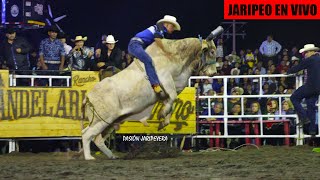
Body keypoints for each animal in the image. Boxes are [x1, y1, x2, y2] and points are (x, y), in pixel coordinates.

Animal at [81, 26, 224, 160]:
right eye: (212, 51)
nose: (213, 73)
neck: (172, 56)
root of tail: (88, 96)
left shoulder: (172, 89)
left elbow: (171, 102)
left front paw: (163, 121)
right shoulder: (165, 79)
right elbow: (173, 97)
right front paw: (162, 114)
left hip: (111, 121)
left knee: (97, 138)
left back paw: (111, 155)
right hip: (102, 120)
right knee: (87, 134)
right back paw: (88, 157)